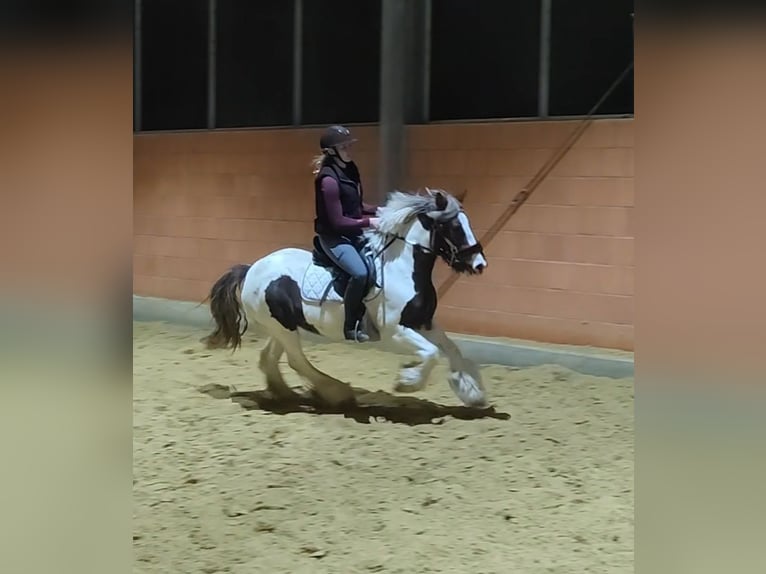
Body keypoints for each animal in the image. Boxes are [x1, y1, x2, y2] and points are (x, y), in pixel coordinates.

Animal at [204, 189, 492, 410]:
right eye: (454, 226)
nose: (479, 264)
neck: (401, 269)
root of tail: (251, 268)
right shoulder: (395, 331)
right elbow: (432, 353)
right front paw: (407, 382)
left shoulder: (424, 322)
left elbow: (452, 349)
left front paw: (472, 394)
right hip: (283, 328)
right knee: (296, 360)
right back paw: (337, 393)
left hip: (283, 326)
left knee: (270, 357)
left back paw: (288, 394)